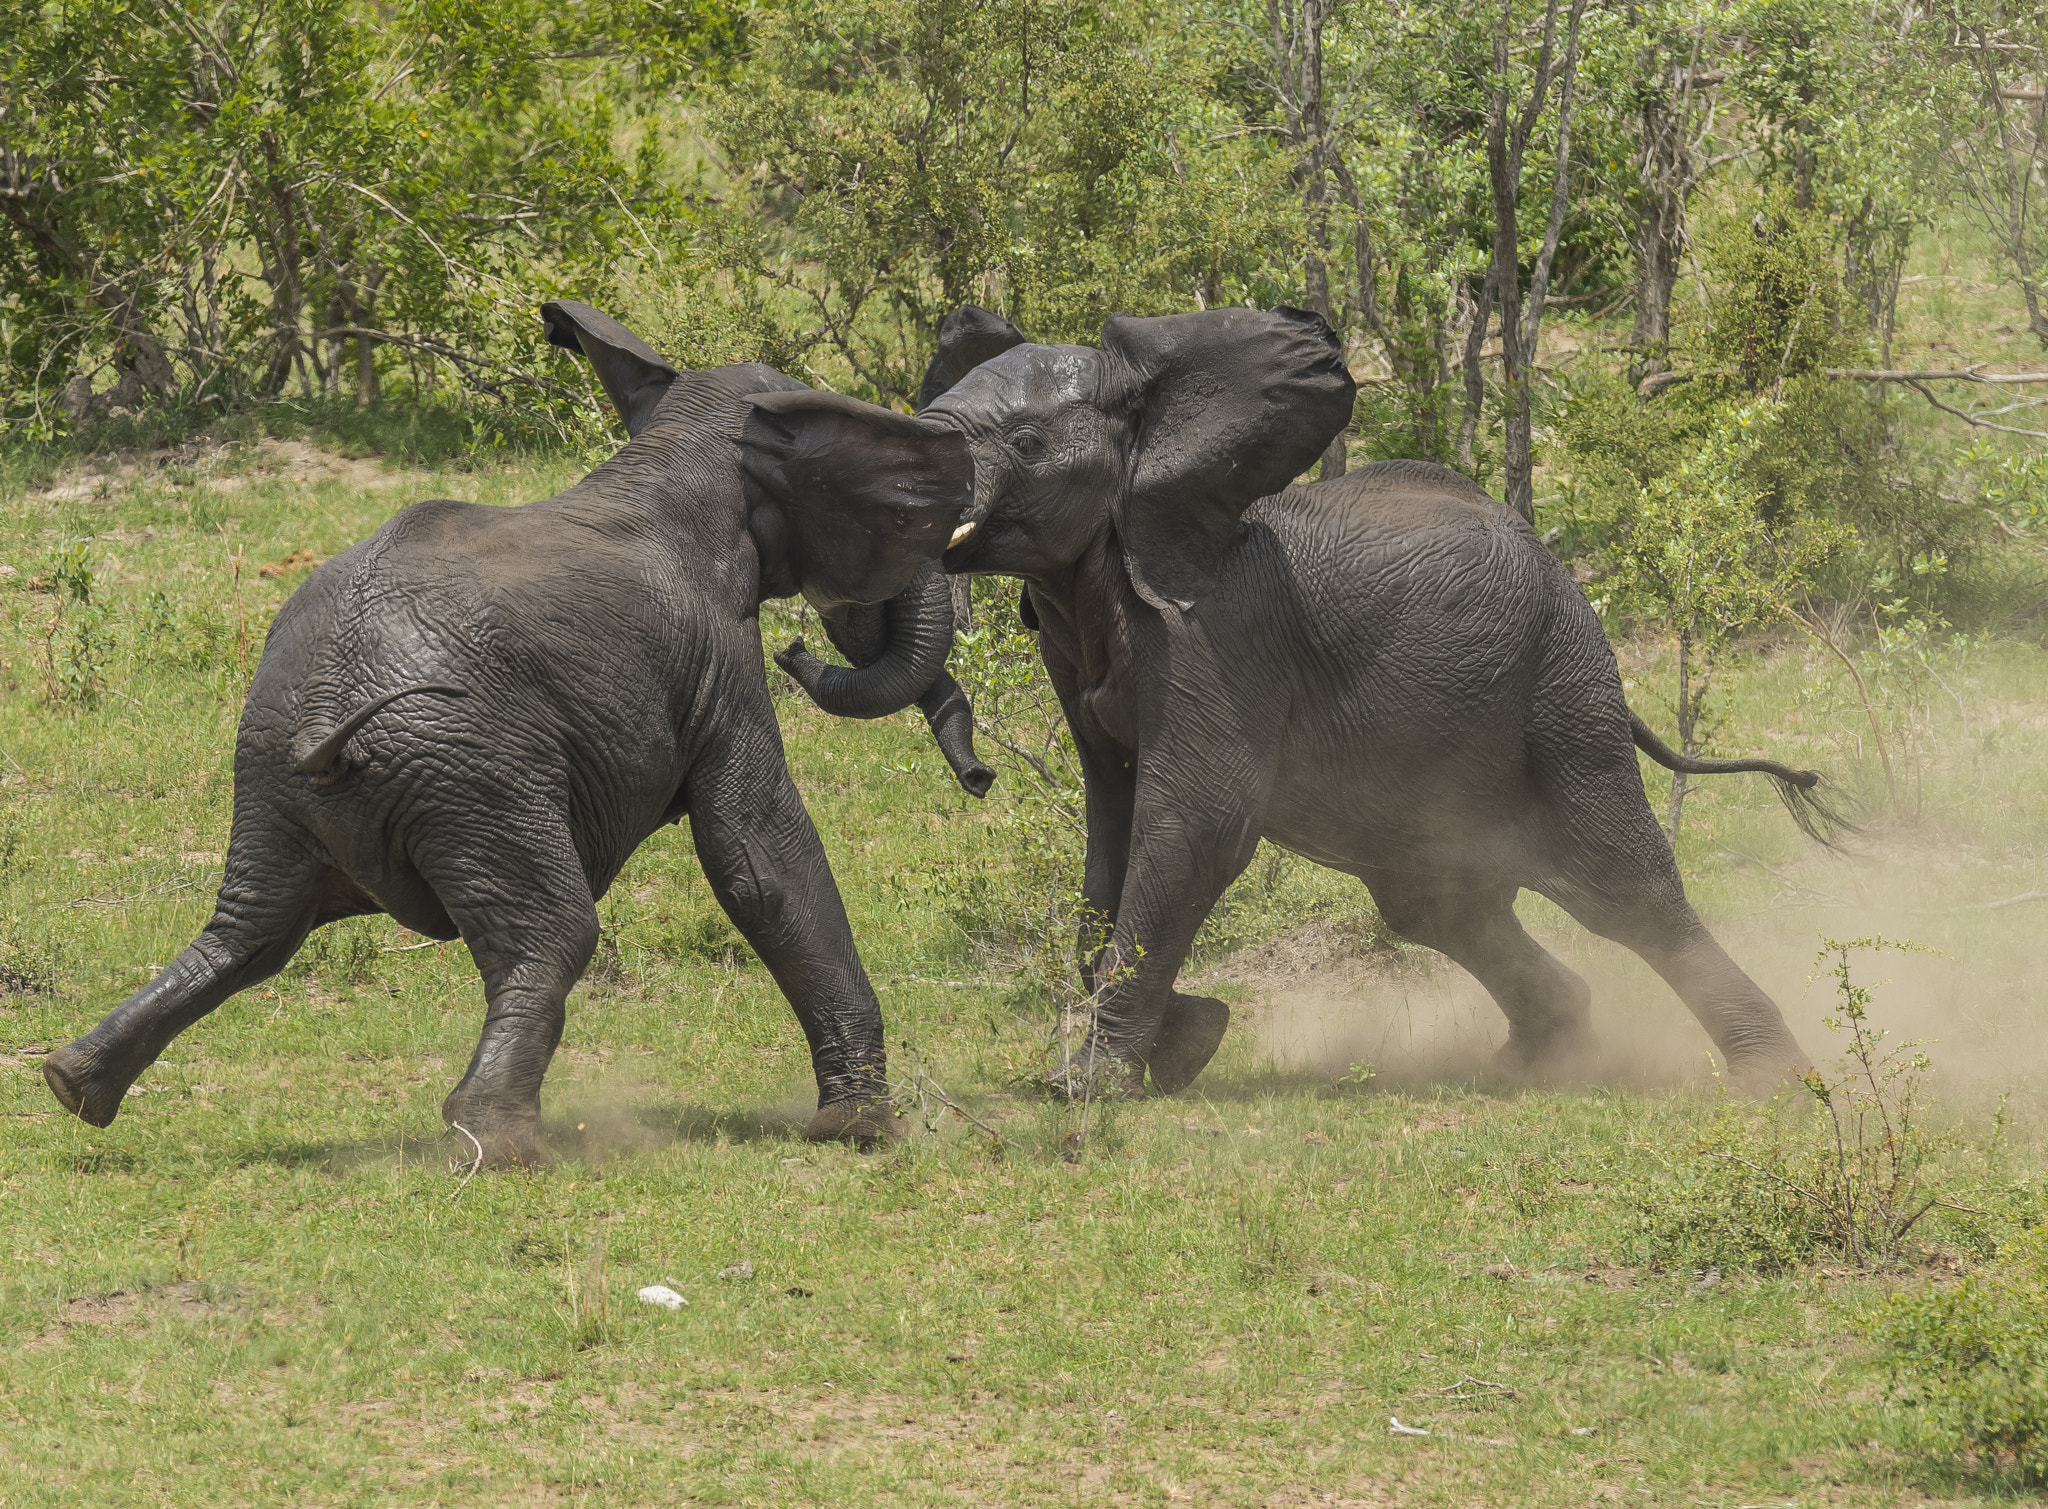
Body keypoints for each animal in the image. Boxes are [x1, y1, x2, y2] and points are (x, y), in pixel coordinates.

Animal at [40, 300, 985, 1165]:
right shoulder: (717, 659)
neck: (679, 447)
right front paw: (864, 1132)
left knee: (251, 930)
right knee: (555, 932)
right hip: (474, 772)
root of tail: (323, 724)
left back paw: (72, 1086)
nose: (980, 781)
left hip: (272, 765)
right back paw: (498, 1144)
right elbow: (760, 860)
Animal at [773, 303, 1841, 1096]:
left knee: (1628, 890)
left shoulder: (1218, 638)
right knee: (1436, 907)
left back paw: (1775, 1079)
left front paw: (1094, 1081)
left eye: (1027, 443)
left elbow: (1194, 827)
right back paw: (1531, 1062)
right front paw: (1185, 1044)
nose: (786, 644)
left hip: (1562, 690)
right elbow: (1112, 829)